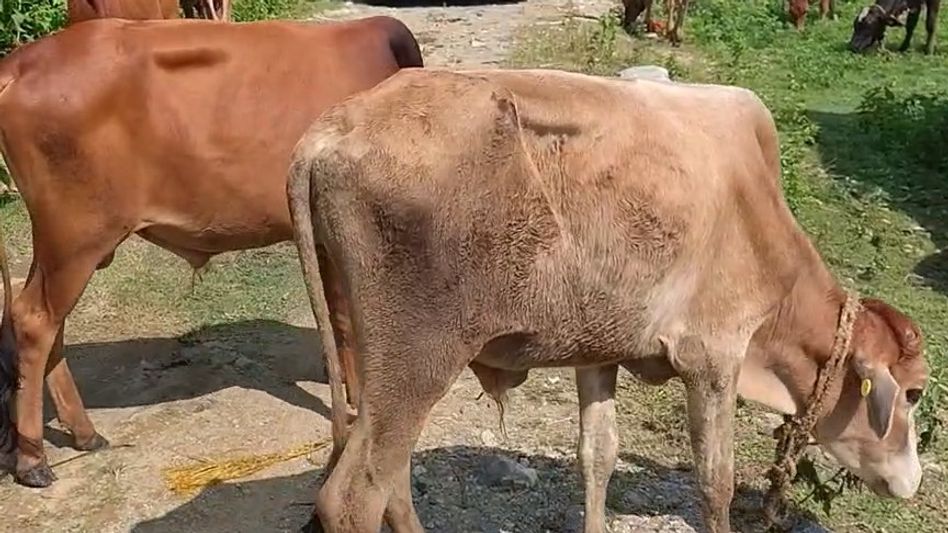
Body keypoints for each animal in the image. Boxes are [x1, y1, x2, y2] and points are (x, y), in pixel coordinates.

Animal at [0, 15, 423, 489]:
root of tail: (22, 62)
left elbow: (342, 322)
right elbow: (350, 321)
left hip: (59, 243)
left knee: (42, 319)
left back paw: (83, 433)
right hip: (76, 238)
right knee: (35, 321)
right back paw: (34, 460)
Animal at [287, 68, 928, 533]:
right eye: (915, 393)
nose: (912, 482)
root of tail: (331, 129)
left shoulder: (599, 350)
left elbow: (598, 456)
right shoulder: (714, 357)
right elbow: (714, 481)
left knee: (391, 478)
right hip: (418, 360)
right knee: (355, 496)